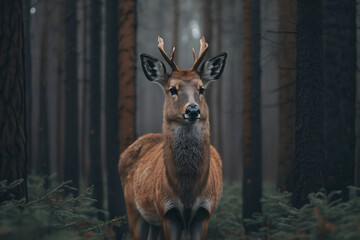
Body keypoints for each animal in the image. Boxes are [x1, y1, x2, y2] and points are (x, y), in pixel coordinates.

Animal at [119, 36, 228, 240]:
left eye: (201, 89)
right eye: (172, 89)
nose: (192, 110)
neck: (187, 191)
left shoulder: (204, 212)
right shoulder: (168, 211)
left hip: (154, 222)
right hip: (133, 209)